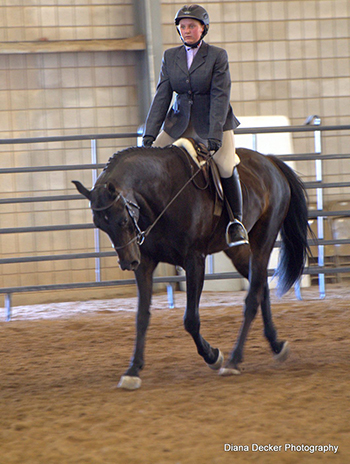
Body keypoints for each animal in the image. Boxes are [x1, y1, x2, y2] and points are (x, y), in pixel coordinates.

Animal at [73, 142, 308, 392]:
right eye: (100, 225)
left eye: (123, 220)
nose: (128, 262)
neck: (162, 193)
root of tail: (270, 161)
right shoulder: (145, 263)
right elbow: (142, 316)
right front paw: (133, 370)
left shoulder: (194, 260)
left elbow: (191, 320)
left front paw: (213, 356)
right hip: (238, 251)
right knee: (260, 286)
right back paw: (276, 345)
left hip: (263, 242)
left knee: (253, 297)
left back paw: (234, 360)